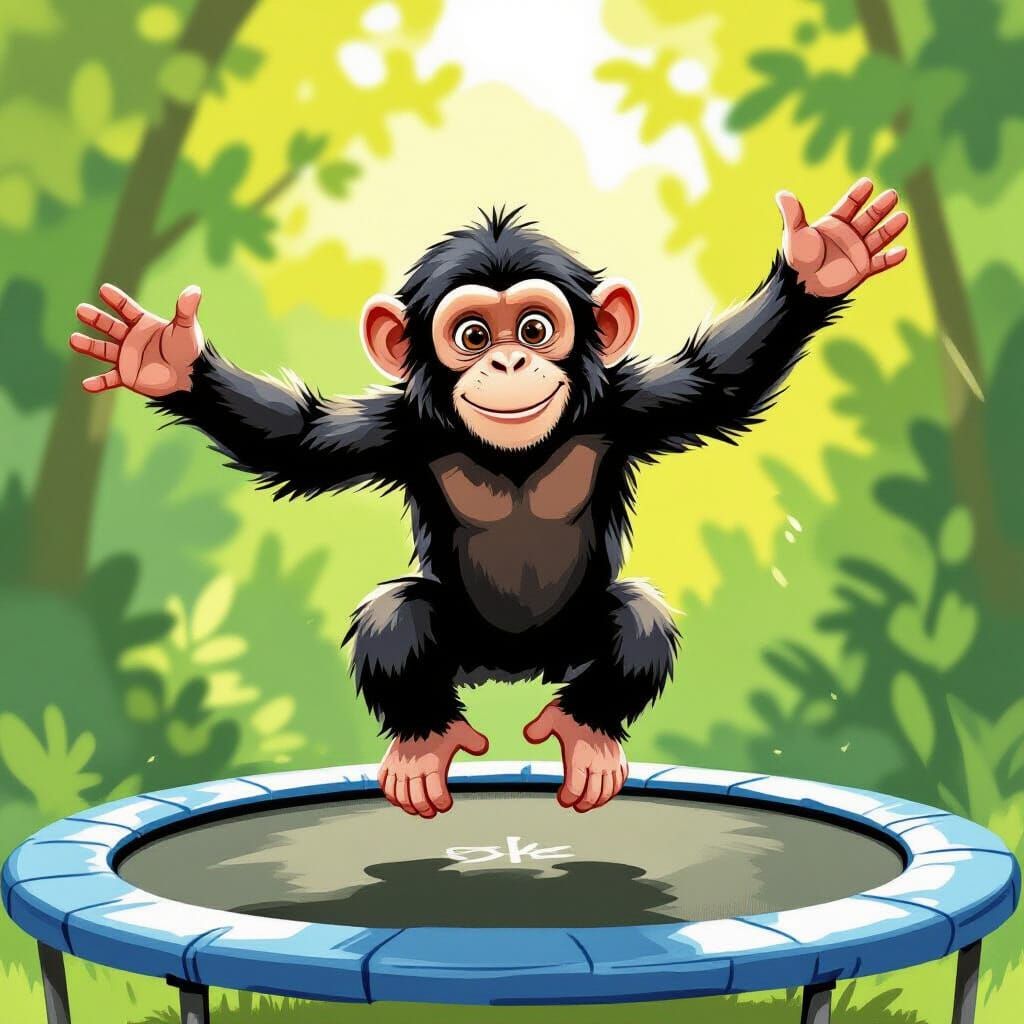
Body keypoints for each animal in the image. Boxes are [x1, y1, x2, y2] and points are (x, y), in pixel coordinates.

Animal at [70, 178, 909, 818]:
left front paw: (823, 262)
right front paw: (162, 357)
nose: (507, 362)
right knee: (396, 615)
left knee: (635, 618)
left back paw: (586, 733)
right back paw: (425, 744)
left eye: (535, 328)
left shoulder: (634, 405)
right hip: (463, 643)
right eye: (472, 335)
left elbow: (721, 382)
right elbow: (297, 442)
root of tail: (512, 668)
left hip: (570, 642)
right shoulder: (394, 429)